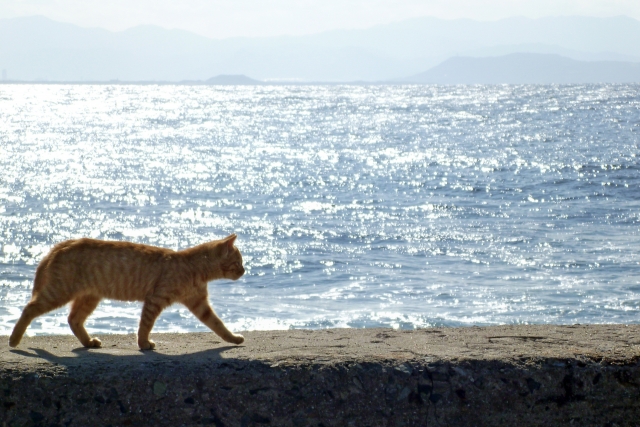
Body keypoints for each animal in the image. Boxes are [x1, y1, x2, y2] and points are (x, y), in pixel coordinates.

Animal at [8, 234, 246, 352]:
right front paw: (143, 344)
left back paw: (88, 342)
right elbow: (145, 325)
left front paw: (233, 339)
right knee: (29, 308)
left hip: (88, 297)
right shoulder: (154, 300)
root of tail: (63, 243)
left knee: (73, 319)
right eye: (238, 262)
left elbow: (218, 325)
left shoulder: (199, 304)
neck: (194, 267)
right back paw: (14, 339)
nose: (244, 271)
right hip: (59, 292)